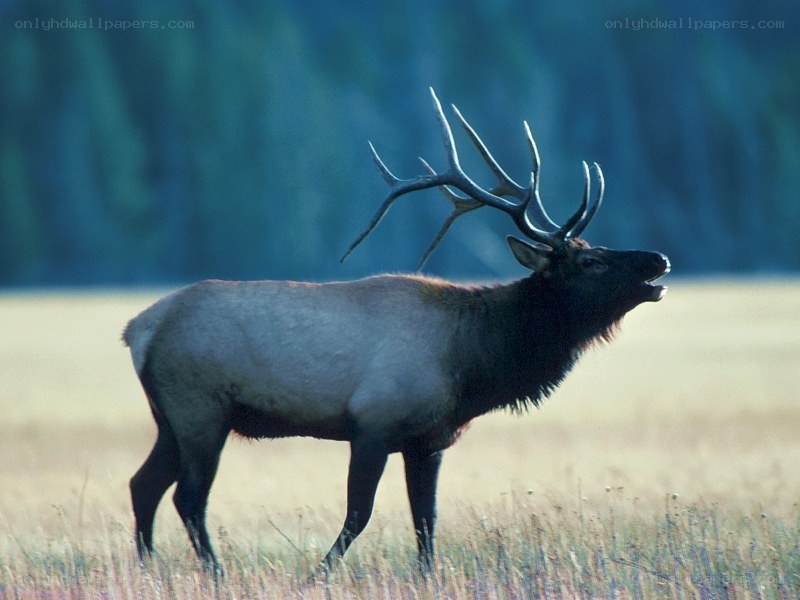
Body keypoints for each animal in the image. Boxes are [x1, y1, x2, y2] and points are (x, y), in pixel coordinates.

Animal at [124, 88, 669, 574]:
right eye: (592, 261)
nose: (659, 258)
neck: (471, 364)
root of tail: (139, 329)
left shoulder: (428, 439)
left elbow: (426, 522)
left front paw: (427, 577)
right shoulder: (374, 422)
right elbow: (358, 515)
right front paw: (317, 575)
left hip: (169, 419)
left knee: (142, 485)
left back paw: (149, 569)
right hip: (201, 411)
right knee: (188, 498)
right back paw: (214, 573)